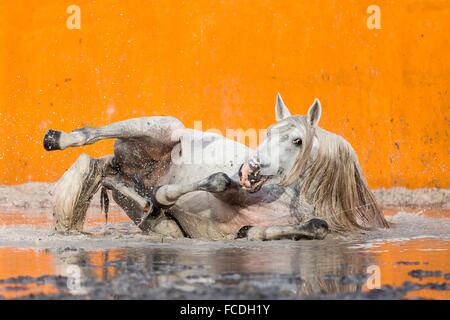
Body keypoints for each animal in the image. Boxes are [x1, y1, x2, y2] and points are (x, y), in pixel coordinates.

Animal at [44, 94, 388, 240]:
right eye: (267, 132)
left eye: (297, 140)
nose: (250, 170)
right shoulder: (228, 188)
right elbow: (216, 181)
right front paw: (163, 198)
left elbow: (317, 226)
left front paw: (251, 232)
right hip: (160, 127)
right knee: (92, 134)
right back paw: (56, 138)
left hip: (131, 192)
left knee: (112, 180)